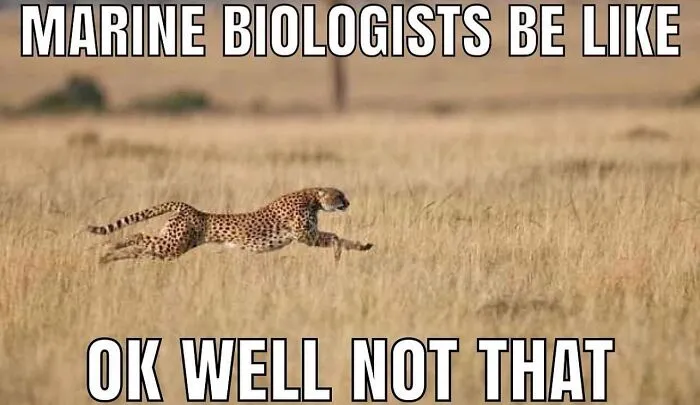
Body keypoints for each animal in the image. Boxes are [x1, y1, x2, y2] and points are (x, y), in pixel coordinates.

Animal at [86, 187, 374, 264]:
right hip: (174, 245)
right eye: (339, 195)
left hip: (169, 244)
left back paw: (107, 256)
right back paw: (109, 249)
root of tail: (187, 206)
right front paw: (339, 252)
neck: (312, 197)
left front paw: (362, 246)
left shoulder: (309, 235)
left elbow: (342, 238)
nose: (348, 202)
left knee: (141, 246)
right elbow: (335, 236)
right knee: (138, 236)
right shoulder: (306, 236)